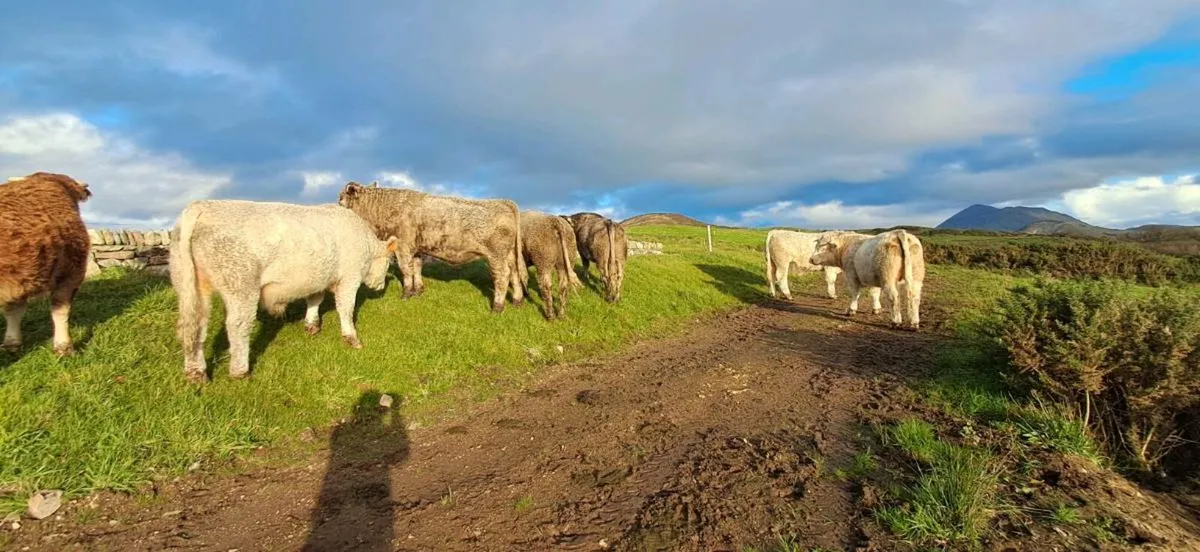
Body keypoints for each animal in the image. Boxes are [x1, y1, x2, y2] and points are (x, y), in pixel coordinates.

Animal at [169, 199, 398, 382]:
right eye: (388, 262)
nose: (380, 287)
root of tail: (202, 205)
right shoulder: (350, 277)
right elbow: (346, 309)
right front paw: (351, 338)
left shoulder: (316, 277)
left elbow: (315, 299)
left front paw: (312, 324)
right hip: (241, 285)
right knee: (237, 326)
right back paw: (240, 371)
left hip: (189, 284)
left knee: (194, 325)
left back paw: (196, 373)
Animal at [337, 182, 527, 313]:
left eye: (340, 200)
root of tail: (503, 202)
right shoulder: (417, 249)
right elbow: (416, 269)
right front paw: (418, 291)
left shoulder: (403, 246)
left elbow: (406, 270)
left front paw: (406, 294)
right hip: (510, 255)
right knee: (515, 274)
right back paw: (517, 301)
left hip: (496, 255)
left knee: (503, 276)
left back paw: (497, 307)